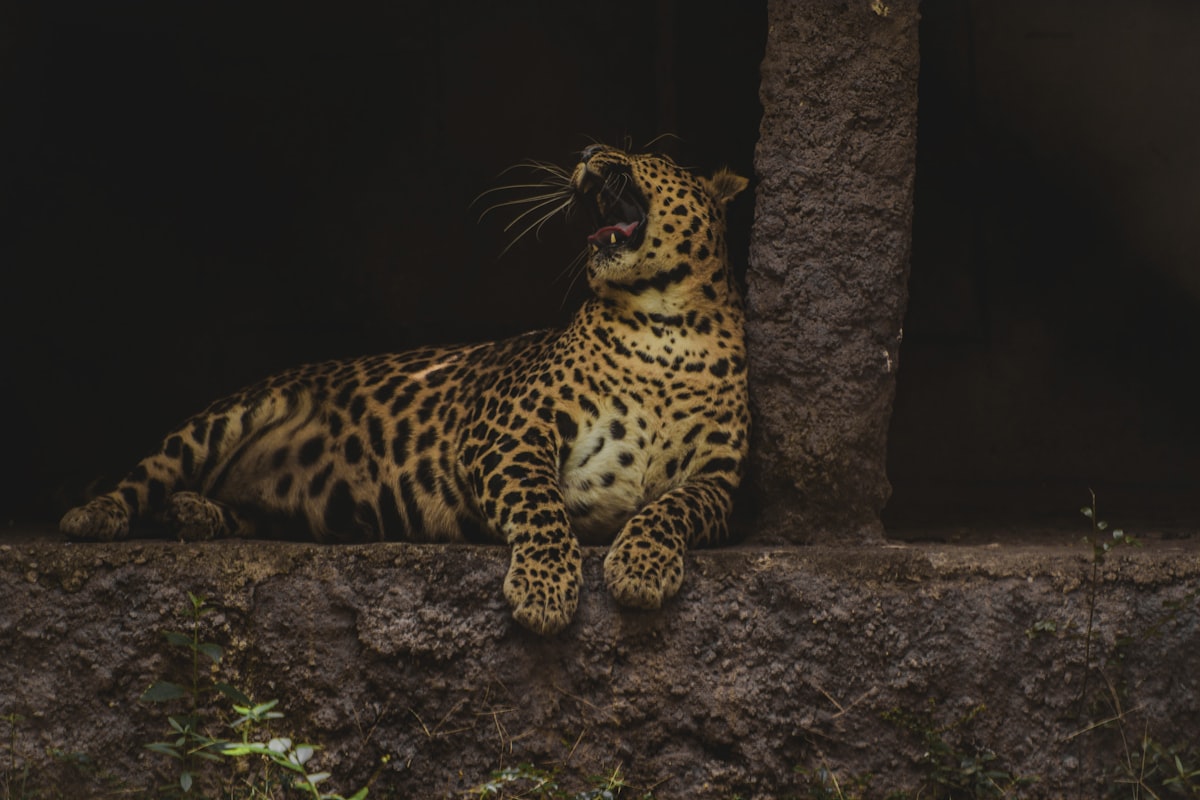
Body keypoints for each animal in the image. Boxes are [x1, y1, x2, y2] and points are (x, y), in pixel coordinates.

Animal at [59, 144, 751, 636]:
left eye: (646, 153)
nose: (585, 151)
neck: (665, 326)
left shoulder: (720, 481)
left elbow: (671, 508)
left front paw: (637, 568)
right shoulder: (508, 432)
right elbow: (541, 508)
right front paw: (545, 588)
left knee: (251, 511)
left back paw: (196, 513)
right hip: (229, 414)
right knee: (146, 473)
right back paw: (96, 516)